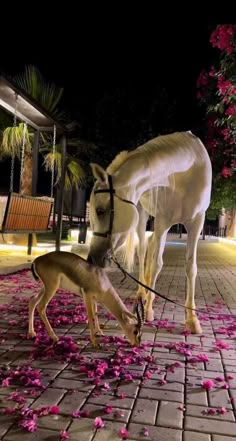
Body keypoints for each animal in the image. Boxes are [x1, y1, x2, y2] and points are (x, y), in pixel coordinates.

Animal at [88, 131, 212, 334]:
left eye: (100, 210)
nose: (92, 258)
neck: (186, 172)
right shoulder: (163, 222)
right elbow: (156, 264)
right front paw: (148, 310)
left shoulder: (197, 222)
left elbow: (190, 267)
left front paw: (192, 319)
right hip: (142, 215)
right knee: (143, 251)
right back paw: (142, 293)